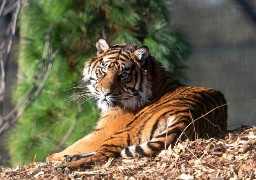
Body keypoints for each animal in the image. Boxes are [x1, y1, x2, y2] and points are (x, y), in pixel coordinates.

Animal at [46, 38, 228, 169]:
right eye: (103, 70)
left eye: (123, 75)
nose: (105, 92)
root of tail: (187, 116)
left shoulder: (104, 131)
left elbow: (78, 144)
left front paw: (53, 156)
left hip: (123, 132)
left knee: (103, 155)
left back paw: (66, 164)